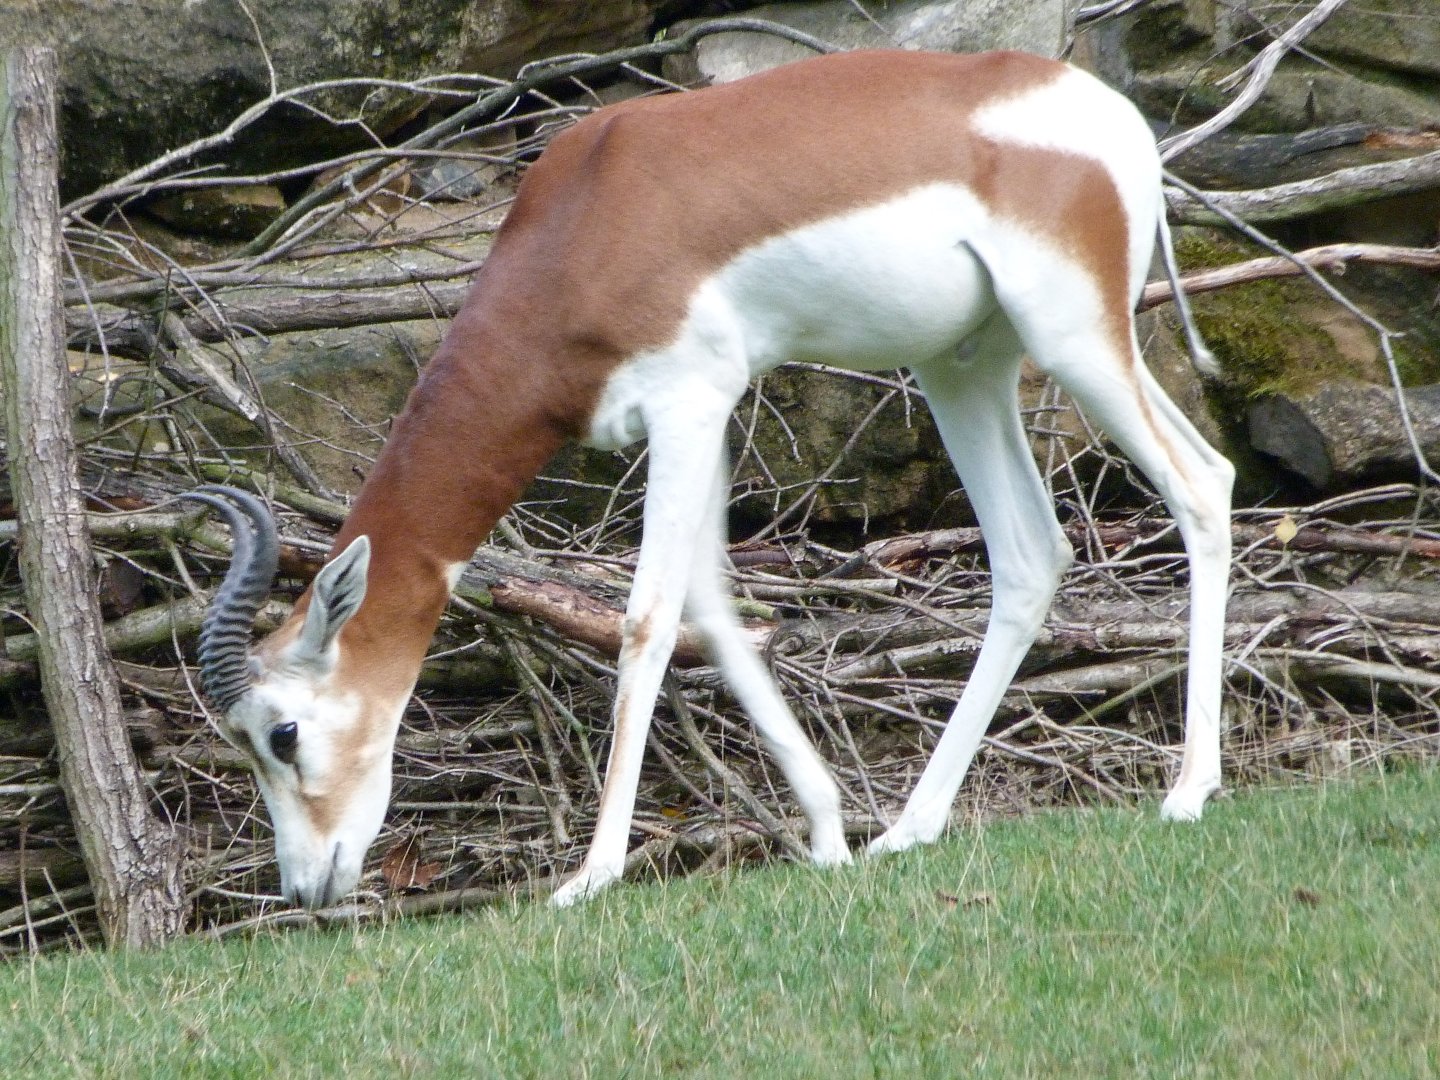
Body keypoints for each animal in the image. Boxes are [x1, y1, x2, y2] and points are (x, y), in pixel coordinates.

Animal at [187, 48, 1234, 910]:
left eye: (280, 733)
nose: (303, 887)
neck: (586, 216)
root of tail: (1109, 111)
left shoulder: (686, 403)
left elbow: (647, 620)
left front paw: (591, 875)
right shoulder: (709, 414)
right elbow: (715, 606)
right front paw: (828, 834)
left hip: (1072, 338)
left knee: (1203, 483)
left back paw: (1190, 791)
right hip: (968, 364)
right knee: (1033, 551)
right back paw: (907, 828)